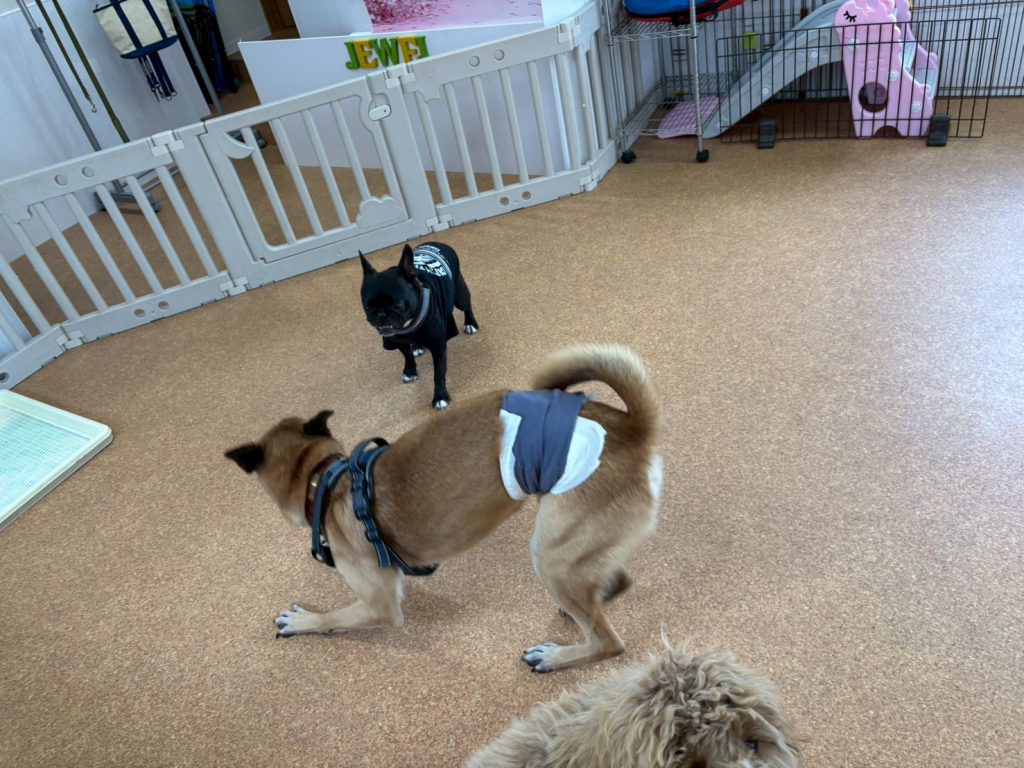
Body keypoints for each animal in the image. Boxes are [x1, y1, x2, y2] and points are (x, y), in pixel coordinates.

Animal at [224, 345, 662, 673]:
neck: (326, 480)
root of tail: (632, 429)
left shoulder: (380, 604)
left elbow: (333, 617)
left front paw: (304, 621)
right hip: (576, 546)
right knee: (614, 583)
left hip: (552, 553)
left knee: (608, 641)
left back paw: (557, 657)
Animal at [359, 241, 478, 410]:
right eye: (367, 307)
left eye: (398, 305)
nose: (381, 315)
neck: (408, 326)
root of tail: (437, 243)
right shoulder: (396, 340)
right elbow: (407, 355)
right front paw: (410, 371)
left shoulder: (438, 346)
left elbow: (438, 374)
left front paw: (440, 396)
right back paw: (417, 346)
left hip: (459, 295)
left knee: (467, 306)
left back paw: (471, 324)